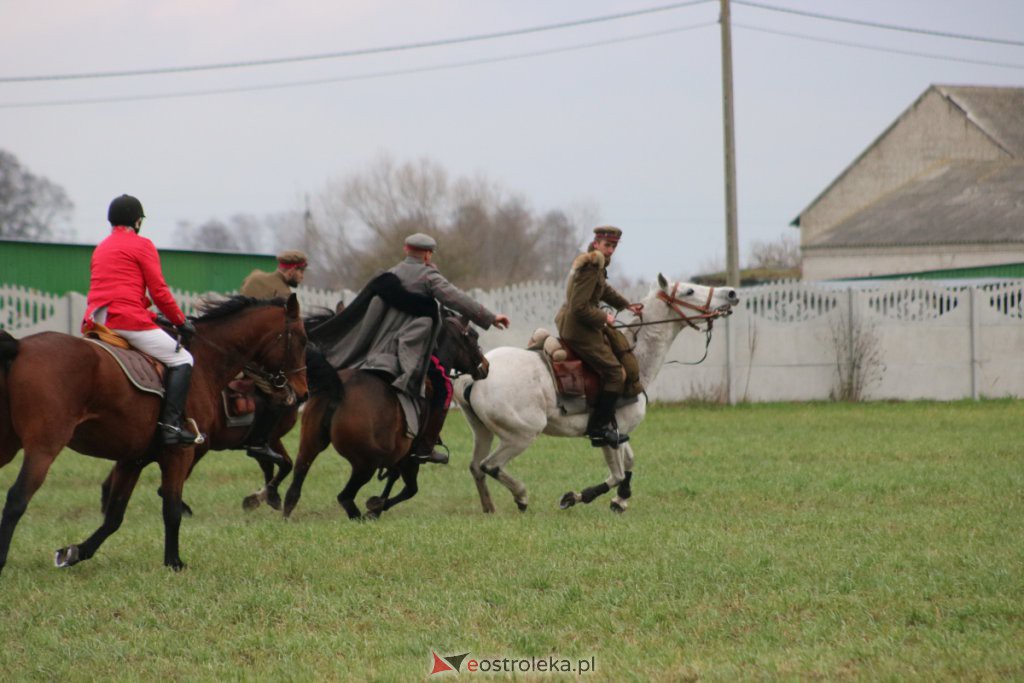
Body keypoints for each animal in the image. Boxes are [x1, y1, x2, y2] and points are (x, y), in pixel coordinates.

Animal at [0, 296, 305, 573]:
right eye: (301, 339)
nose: (302, 393)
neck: (206, 361)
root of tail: (21, 346)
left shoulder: (131, 460)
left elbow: (114, 516)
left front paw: (75, 552)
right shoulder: (179, 454)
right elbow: (170, 509)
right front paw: (174, 562)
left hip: (9, 447)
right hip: (44, 449)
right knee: (16, 498)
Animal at [280, 313, 487, 520]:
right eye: (473, 336)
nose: (485, 366)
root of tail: (338, 391)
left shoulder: (398, 457)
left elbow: (397, 482)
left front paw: (378, 505)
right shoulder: (409, 459)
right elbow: (410, 489)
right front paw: (376, 506)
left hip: (310, 446)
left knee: (296, 485)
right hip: (365, 465)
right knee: (344, 497)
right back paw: (362, 516)